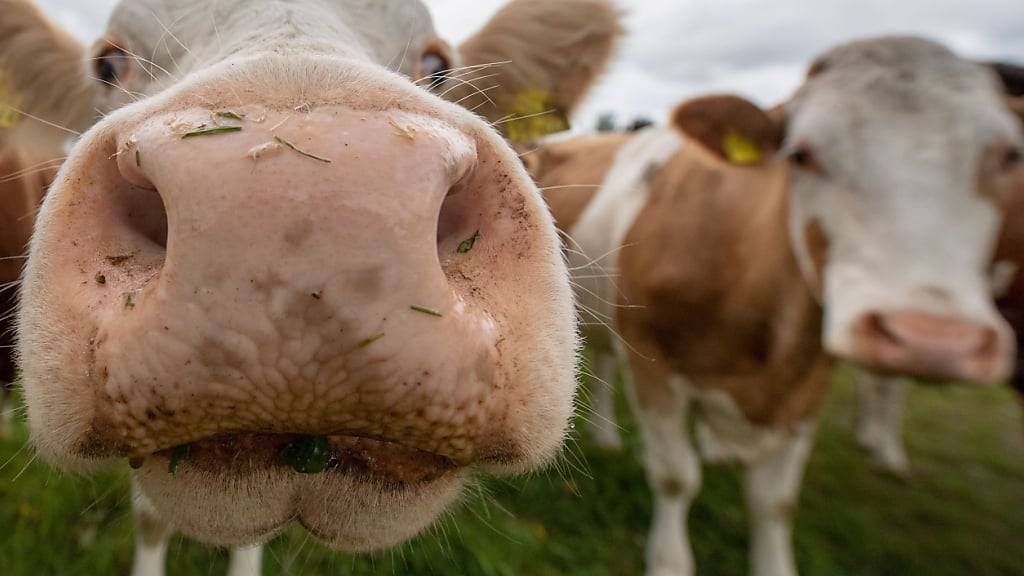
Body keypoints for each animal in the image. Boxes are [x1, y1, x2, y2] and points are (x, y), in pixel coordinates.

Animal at [532, 36, 1019, 573]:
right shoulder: (654, 364)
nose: (933, 340)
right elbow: (676, 477)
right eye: (801, 154)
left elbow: (774, 502)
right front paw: (670, 560)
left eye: (1009, 156)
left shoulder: (808, 384)